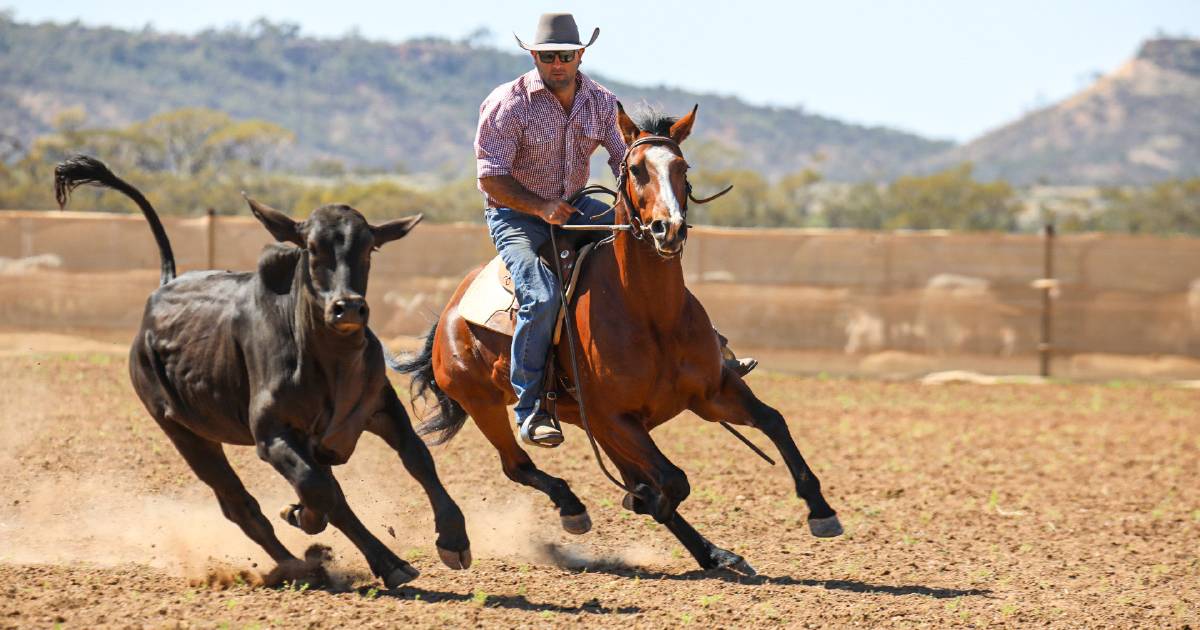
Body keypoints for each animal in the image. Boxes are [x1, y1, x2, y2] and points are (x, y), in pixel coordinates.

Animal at [398, 104, 840, 573]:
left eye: (683, 167)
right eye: (636, 168)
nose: (668, 229)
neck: (651, 316)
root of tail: (449, 316)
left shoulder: (711, 392)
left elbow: (773, 421)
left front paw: (821, 511)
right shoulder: (616, 417)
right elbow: (672, 481)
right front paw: (645, 502)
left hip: (589, 422)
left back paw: (715, 553)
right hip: (485, 404)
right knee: (517, 465)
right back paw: (572, 508)